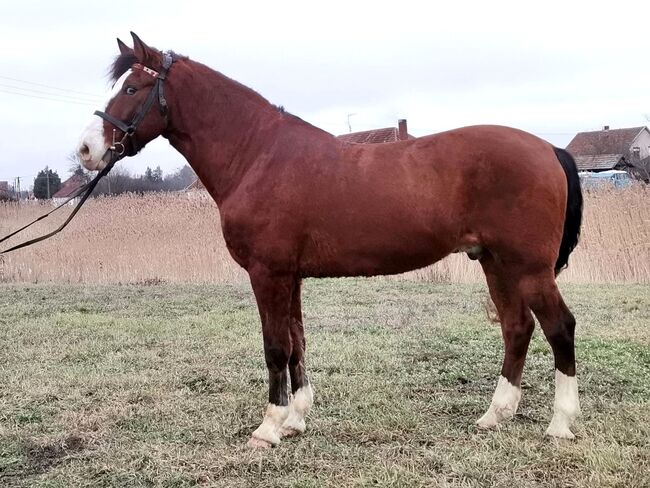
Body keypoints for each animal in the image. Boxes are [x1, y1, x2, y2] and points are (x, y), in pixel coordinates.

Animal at [76, 32, 584, 448]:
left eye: (132, 89)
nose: (85, 149)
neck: (257, 154)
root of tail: (548, 149)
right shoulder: (290, 276)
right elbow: (297, 340)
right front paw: (296, 420)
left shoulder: (268, 274)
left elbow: (275, 347)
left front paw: (268, 428)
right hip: (495, 262)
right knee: (516, 327)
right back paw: (495, 415)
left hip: (528, 267)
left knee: (560, 326)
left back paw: (560, 423)